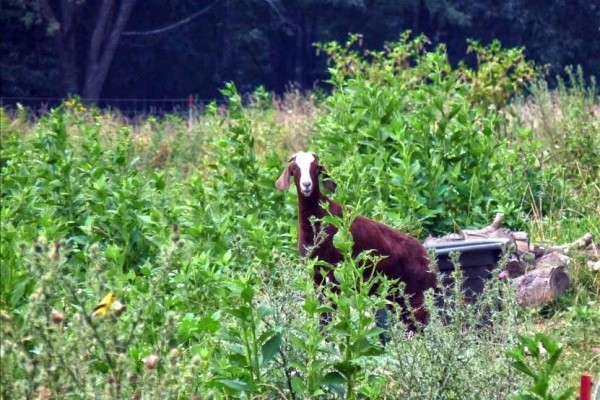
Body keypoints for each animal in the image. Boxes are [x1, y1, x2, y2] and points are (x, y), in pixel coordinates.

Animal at [276, 150, 436, 332]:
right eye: (295, 169)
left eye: (317, 168)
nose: (306, 185)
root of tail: (428, 257)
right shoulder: (316, 276)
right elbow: (323, 316)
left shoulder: (335, 276)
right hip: (398, 296)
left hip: (418, 296)